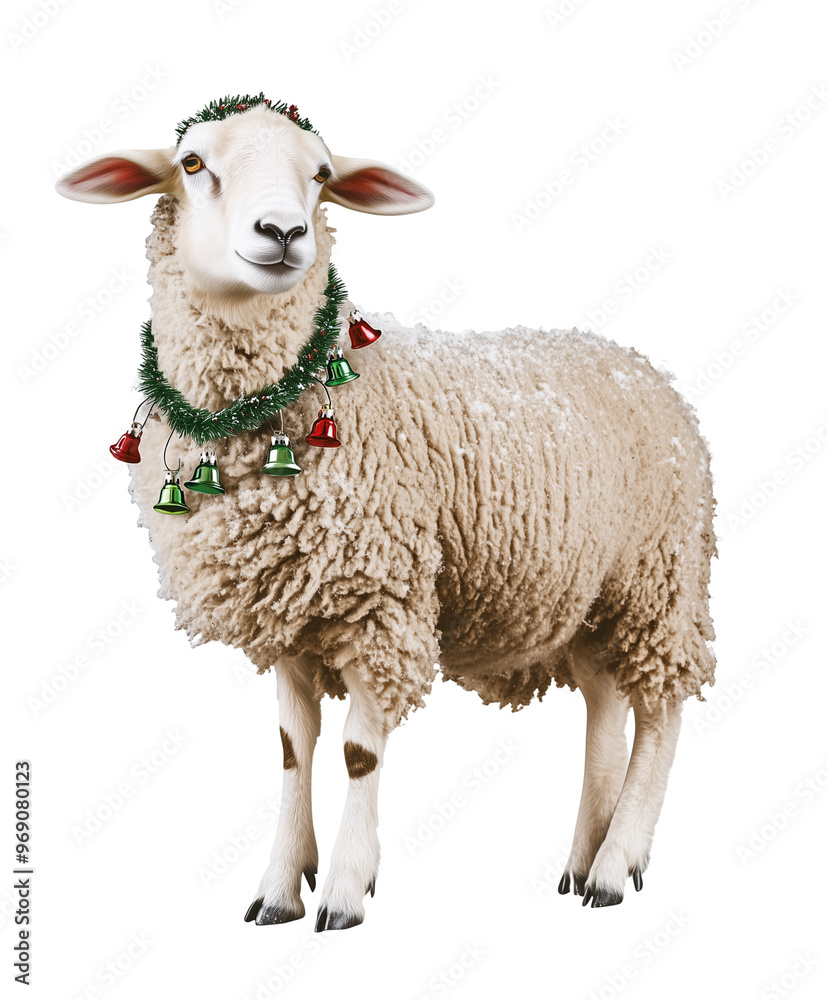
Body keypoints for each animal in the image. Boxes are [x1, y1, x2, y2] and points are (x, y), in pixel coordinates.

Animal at [56, 95, 717, 929]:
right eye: (193, 163)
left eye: (321, 174)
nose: (283, 233)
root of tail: (646, 368)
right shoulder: (291, 607)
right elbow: (290, 749)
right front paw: (279, 886)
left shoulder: (378, 600)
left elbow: (357, 754)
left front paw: (344, 889)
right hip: (589, 592)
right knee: (604, 703)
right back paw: (581, 857)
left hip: (658, 576)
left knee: (660, 709)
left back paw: (616, 861)